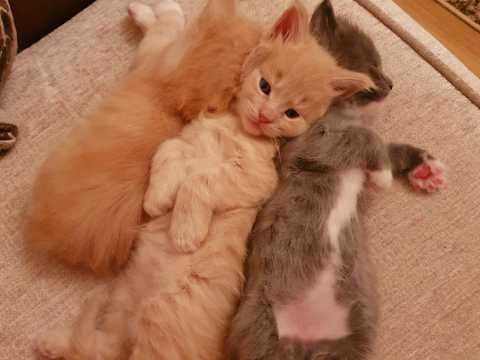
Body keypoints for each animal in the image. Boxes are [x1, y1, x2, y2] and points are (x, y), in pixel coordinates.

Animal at [37, 1, 376, 358]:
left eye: (292, 113)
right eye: (265, 86)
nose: (265, 116)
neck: (233, 126)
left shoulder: (257, 178)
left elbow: (199, 180)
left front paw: (185, 231)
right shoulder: (183, 138)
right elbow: (167, 152)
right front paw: (156, 199)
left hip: (157, 333)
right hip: (121, 309)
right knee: (96, 347)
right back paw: (55, 339)